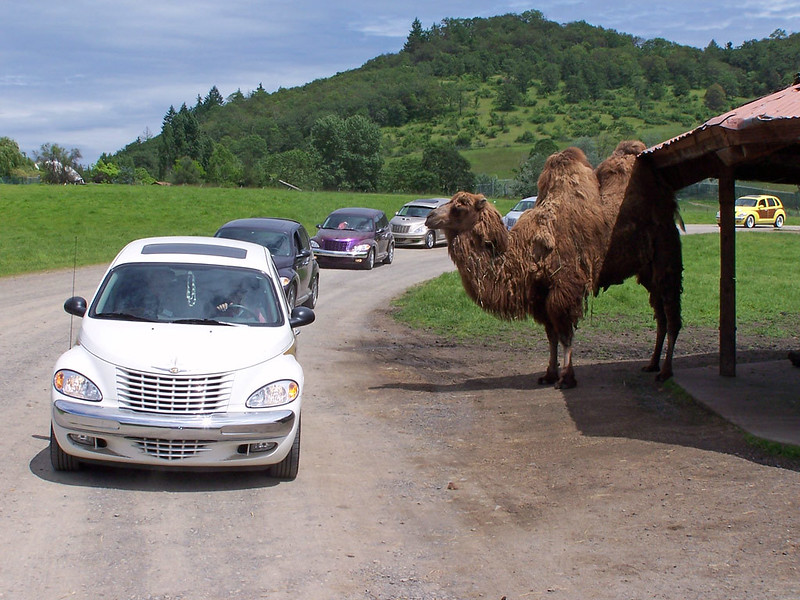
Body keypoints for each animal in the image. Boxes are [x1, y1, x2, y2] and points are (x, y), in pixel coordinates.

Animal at [424, 148, 608, 386]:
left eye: (459, 207)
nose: (429, 216)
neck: (525, 253)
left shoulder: (565, 287)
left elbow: (565, 334)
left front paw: (567, 378)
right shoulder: (540, 295)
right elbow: (551, 335)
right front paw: (550, 373)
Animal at [592, 142, 680, 380]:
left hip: (667, 265)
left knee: (672, 318)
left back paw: (665, 371)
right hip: (650, 275)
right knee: (662, 318)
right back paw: (652, 364)